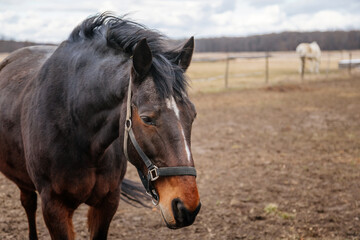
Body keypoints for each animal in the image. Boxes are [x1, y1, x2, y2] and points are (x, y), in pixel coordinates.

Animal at [0, 13, 200, 240]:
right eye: (147, 118)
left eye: (192, 115)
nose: (186, 207)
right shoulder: (53, 207)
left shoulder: (107, 202)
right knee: (28, 204)